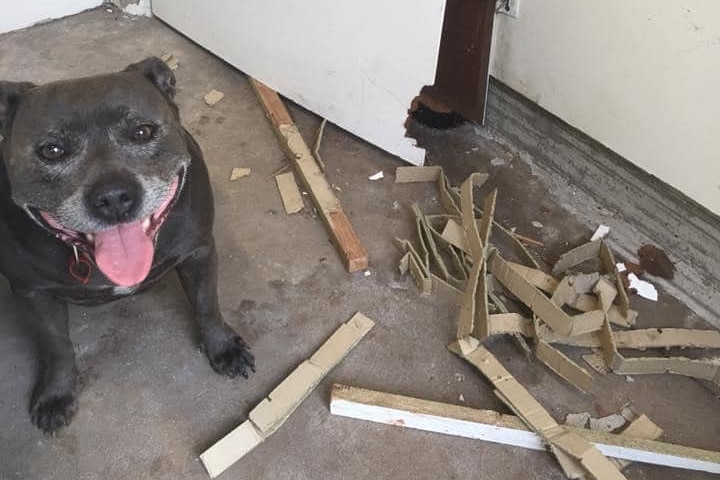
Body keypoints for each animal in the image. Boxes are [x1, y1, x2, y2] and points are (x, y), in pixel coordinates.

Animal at [0, 58, 256, 434]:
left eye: (142, 132)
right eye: (52, 150)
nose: (113, 197)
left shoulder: (199, 253)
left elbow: (207, 306)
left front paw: (223, 348)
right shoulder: (32, 292)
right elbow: (57, 346)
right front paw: (56, 394)